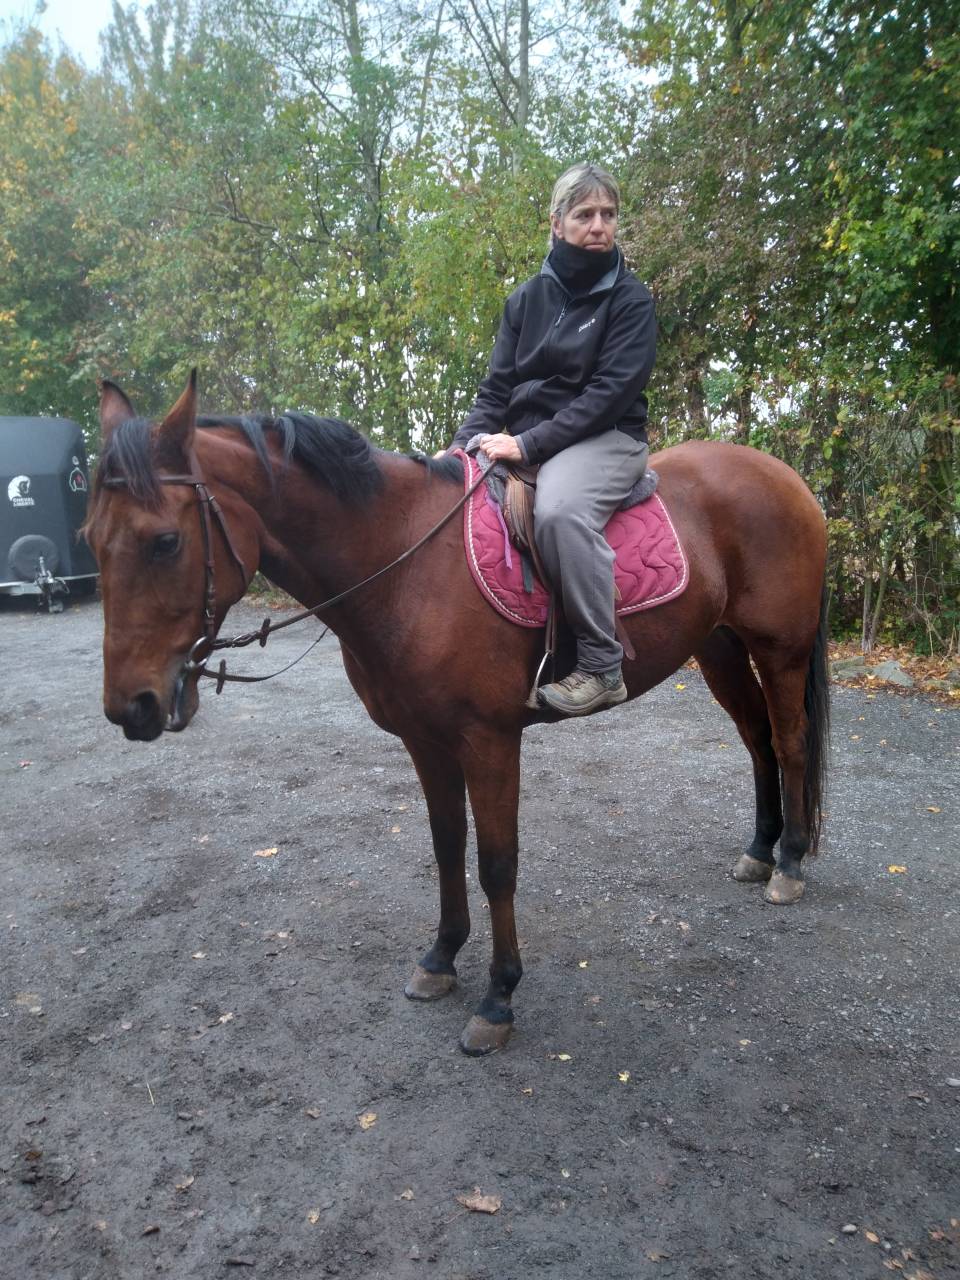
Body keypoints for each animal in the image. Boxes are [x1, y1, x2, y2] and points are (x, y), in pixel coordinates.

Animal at [85, 373, 829, 1056]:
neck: (404, 562)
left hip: (780, 649)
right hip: (720, 649)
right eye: (91, 536)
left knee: (790, 743)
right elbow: (447, 845)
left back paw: (790, 864)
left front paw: (498, 996)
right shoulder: (425, 741)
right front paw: (441, 958)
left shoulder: (489, 741)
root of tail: (784, 476)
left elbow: (497, 862)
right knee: (758, 743)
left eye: (164, 541)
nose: (132, 707)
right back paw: (759, 851)